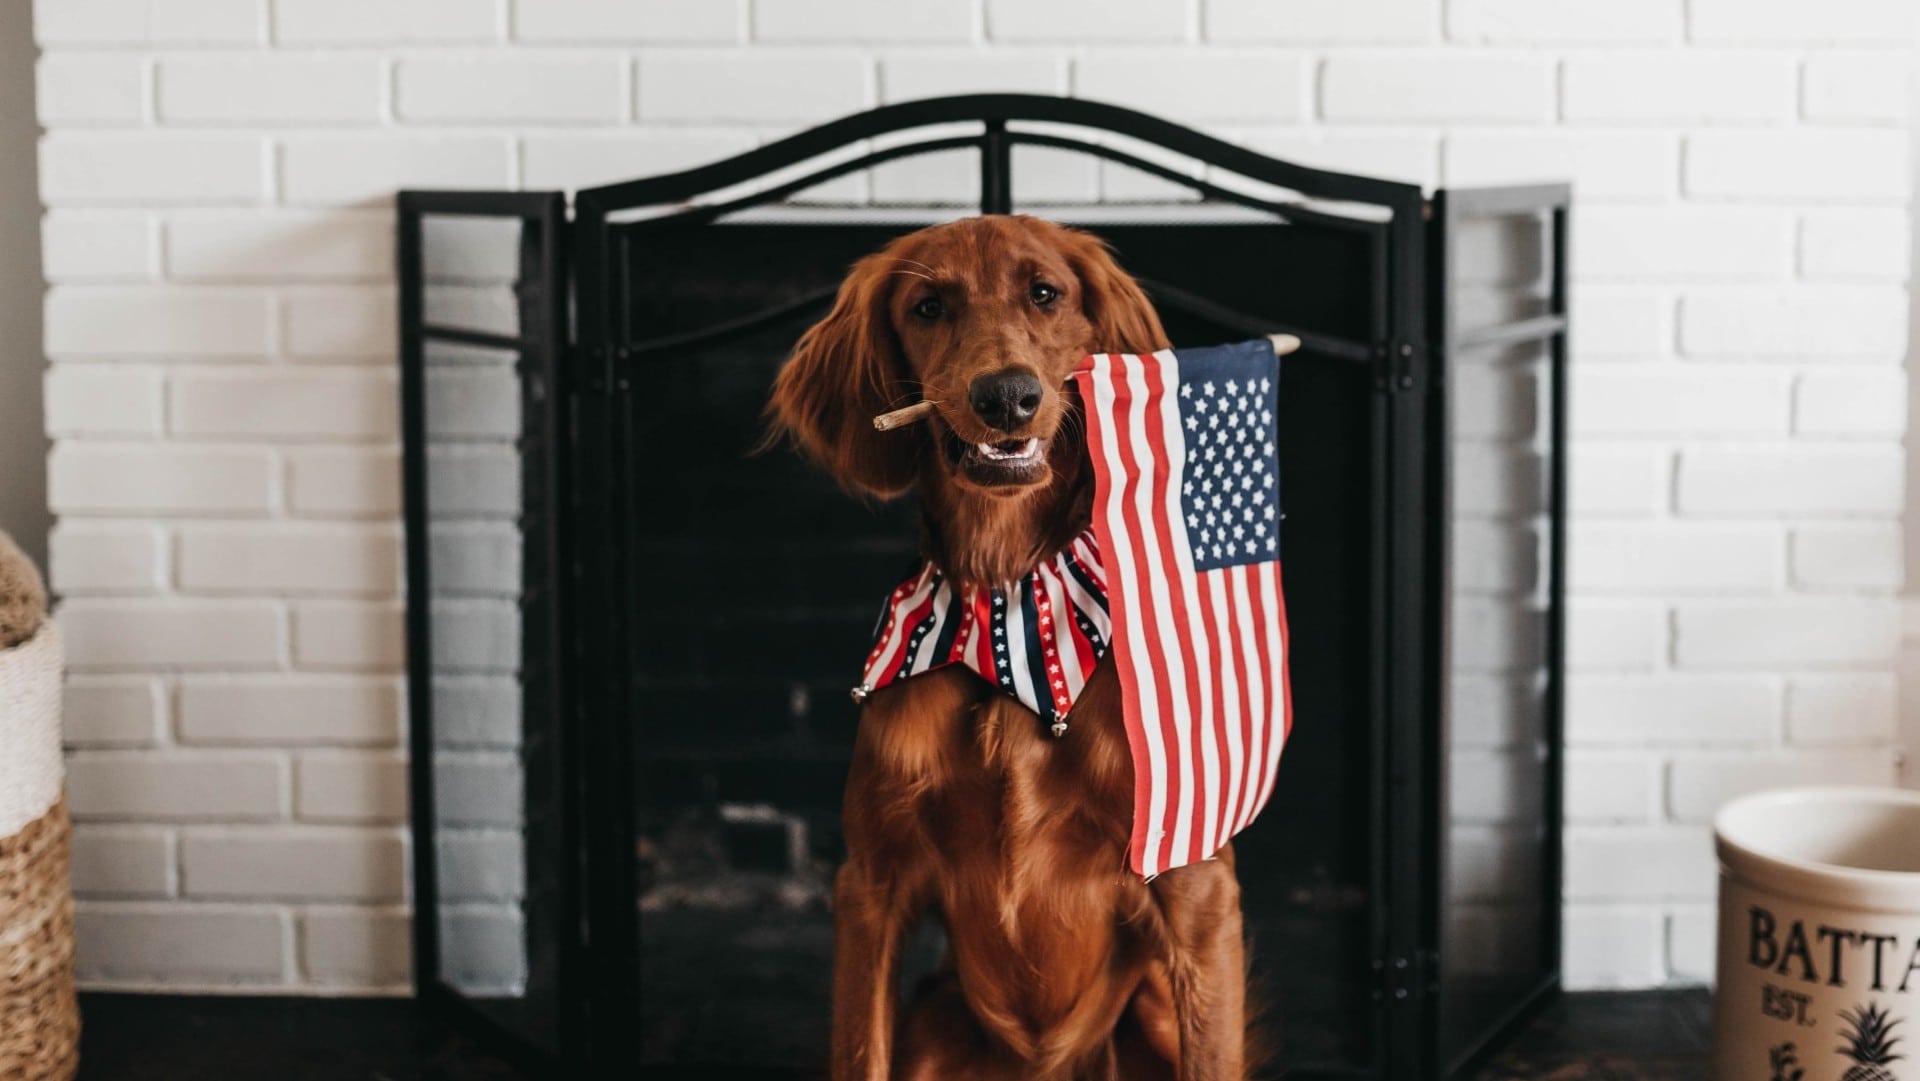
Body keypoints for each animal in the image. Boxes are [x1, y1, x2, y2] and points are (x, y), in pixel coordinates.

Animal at [771, 216, 1251, 1075]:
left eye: (1046, 293)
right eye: (928, 306)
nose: (1006, 396)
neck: (1006, 609)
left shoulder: (1194, 883)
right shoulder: (870, 885)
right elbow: (860, 1048)